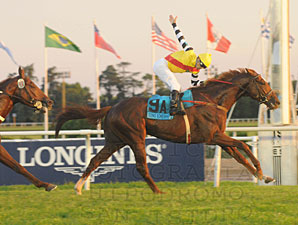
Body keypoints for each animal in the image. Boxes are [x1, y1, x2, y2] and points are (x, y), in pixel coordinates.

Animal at [55, 67, 280, 194]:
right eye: (262, 82)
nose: (276, 101)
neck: (213, 100)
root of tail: (112, 107)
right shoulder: (213, 136)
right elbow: (244, 145)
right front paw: (262, 173)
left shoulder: (219, 138)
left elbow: (240, 156)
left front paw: (264, 177)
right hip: (135, 137)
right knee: (141, 166)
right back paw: (157, 191)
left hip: (115, 141)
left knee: (95, 160)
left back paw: (78, 188)